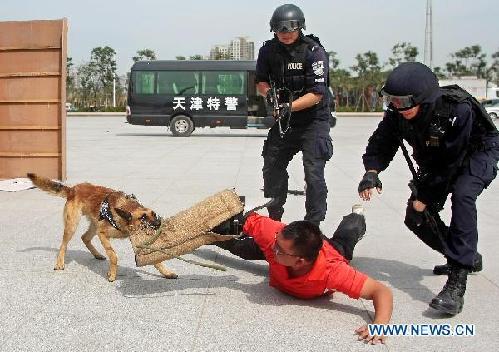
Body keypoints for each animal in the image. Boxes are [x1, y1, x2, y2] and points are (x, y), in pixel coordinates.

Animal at [27, 174, 179, 284]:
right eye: (143, 218)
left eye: (154, 214)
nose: (159, 223)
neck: (125, 212)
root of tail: (74, 189)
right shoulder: (103, 233)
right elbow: (113, 255)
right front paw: (112, 274)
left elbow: (157, 260)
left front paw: (166, 272)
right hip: (73, 225)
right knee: (64, 244)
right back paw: (60, 262)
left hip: (95, 225)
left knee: (84, 237)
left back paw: (97, 254)